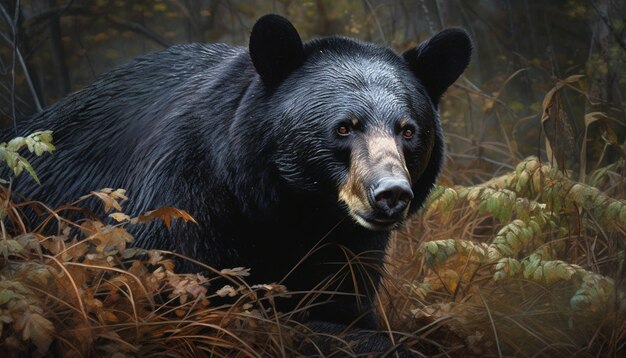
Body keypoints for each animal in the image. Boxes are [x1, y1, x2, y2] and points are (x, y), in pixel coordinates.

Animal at [3, 14, 468, 336]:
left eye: (408, 130)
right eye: (343, 127)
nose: (391, 194)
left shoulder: (350, 246)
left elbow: (343, 304)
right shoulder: (177, 204)